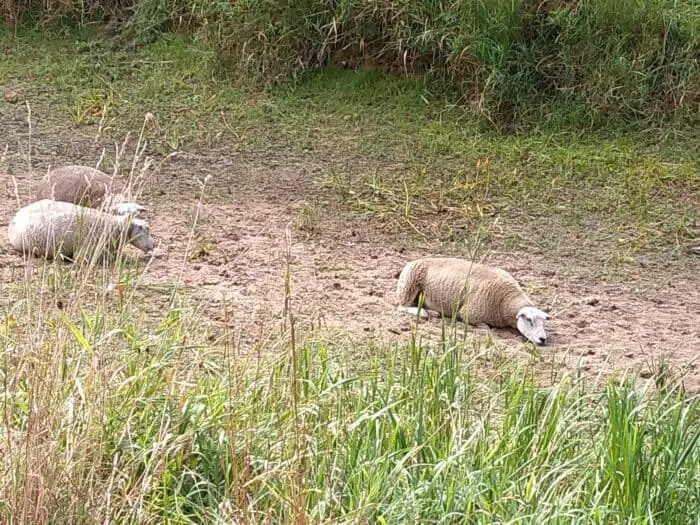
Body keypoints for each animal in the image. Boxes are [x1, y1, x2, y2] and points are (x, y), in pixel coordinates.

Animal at [396, 256, 548, 344]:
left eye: (543, 322)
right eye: (528, 320)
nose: (543, 339)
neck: (505, 301)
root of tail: (413, 261)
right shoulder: (469, 313)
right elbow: (485, 327)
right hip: (409, 284)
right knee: (401, 306)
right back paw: (424, 313)